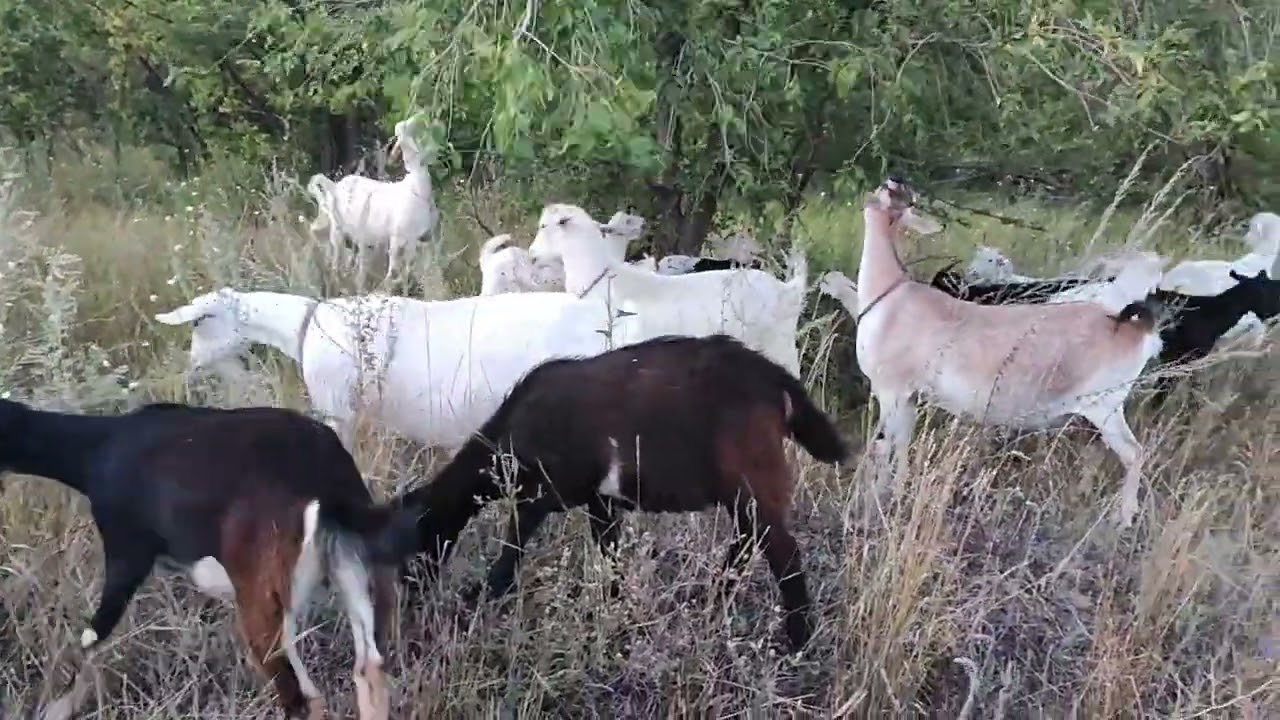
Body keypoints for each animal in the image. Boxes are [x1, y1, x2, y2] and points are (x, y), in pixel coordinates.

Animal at [0, 400, 415, 720]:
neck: (99, 449)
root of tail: (327, 478)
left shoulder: (126, 550)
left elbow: (89, 640)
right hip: (352, 568)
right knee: (368, 669)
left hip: (262, 592)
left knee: (302, 697)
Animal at [306, 116, 441, 291]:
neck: (416, 187)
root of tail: (334, 187)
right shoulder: (397, 238)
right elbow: (393, 273)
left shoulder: (412, 240)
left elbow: (405, 273)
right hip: (338, 233)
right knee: (336, 266)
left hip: (359, 240)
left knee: (354, 269)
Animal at [391, 334, 848, 652]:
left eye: (408, 556)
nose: (406, 601)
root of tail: (774, 379)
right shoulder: (602, 502)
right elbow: (609, 557)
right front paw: (615, 615)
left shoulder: (539, 496)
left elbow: (509, 557)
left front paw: (472, 603)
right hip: (741, 491)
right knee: (747, 541)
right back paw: (713, 600)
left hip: (751, 478)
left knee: (783, 552)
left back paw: (798, 641)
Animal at [841, 178, 1164, 528]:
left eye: (893, 194)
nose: (894, 180)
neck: (891, 297)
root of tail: (1132, 327)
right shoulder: (911, 395)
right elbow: (902, 444)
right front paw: (898, 492)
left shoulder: (891, 389)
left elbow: (884, 447)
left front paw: (876, 500)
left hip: (1104, 405)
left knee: (1133, 453)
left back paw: (1124, 519)